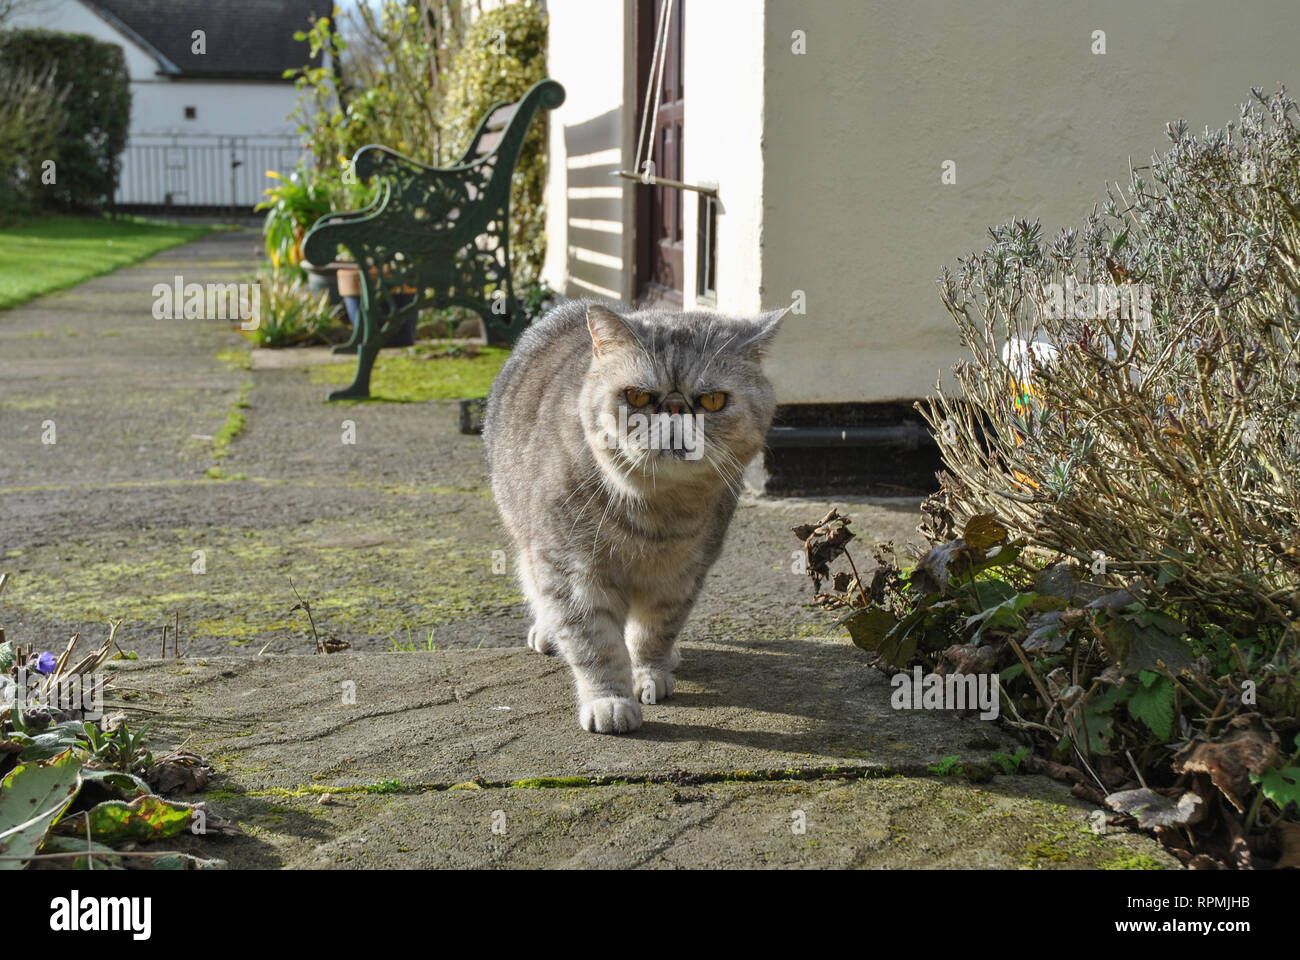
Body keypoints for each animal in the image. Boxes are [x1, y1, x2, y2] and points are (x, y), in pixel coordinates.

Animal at [486, 299, 780, 733]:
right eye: (638, 397)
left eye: (712, 401)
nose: (674, 409)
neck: (658, 512)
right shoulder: (571, 570)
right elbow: (595, 645)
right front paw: (609, 700)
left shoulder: (682, 576)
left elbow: (654, 632)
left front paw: (650, 674)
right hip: (527, 533)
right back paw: (547, 632)